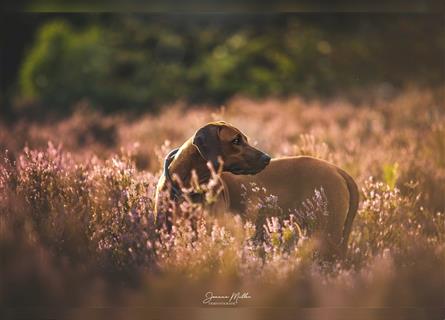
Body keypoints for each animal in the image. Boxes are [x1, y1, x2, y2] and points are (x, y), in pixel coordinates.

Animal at [154, 121, 360, 258]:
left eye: (244, 139)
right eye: (236, 140)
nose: (267, 158)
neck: (187, 186)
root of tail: (337, 170)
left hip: (328, 235)